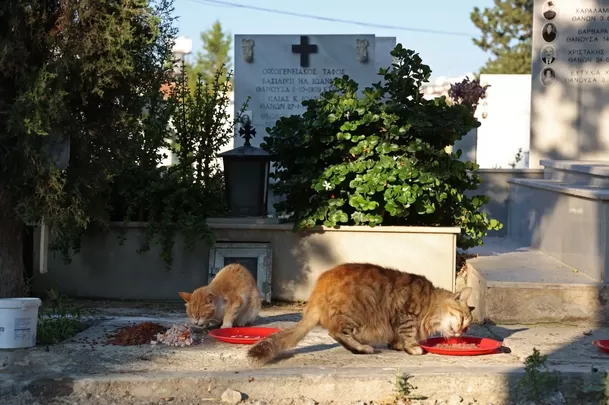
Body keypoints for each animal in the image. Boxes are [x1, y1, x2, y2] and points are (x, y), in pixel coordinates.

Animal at [247, 260, 476, 364]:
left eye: (467, 327)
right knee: (336, 332)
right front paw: (413, 348)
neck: (430, 304)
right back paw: (363, 348)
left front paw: (397, 346)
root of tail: (319, 288)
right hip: (353, 314)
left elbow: (396, 338)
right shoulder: (405, 315)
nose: (460, 333)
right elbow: (408, 335)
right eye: (463, 320)